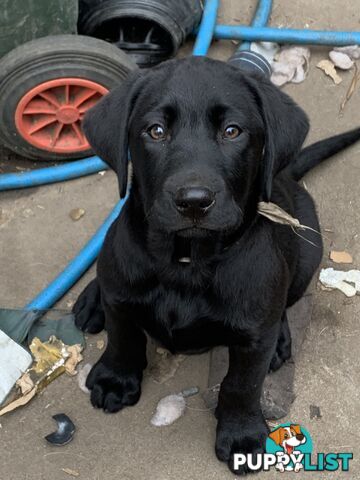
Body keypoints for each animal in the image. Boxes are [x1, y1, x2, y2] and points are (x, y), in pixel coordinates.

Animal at [73, 57, 360, 476]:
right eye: (156, 131)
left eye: (232, 131)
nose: (193, 201)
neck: (186, 260)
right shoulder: (122, 299)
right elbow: (123, 337)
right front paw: (115, 379)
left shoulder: (252, 338)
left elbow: (241, 384)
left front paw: (241, 434)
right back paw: (91, 299)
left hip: (309, 251)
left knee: (285, 300)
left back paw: (281, 339)